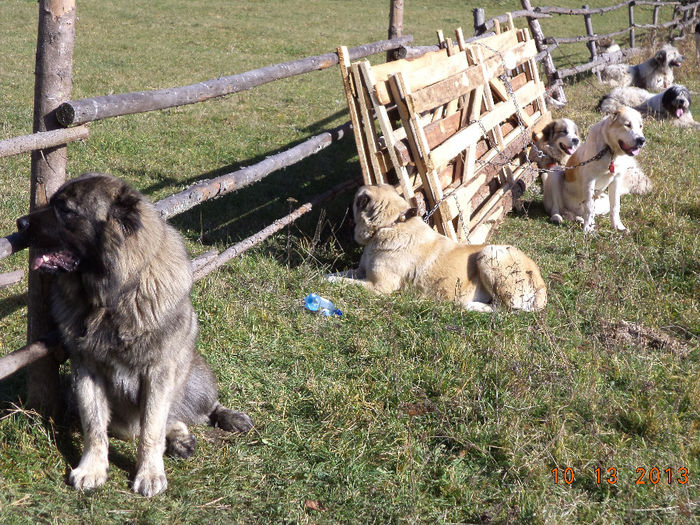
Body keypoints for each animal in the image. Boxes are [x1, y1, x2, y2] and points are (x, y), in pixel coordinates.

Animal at [16, 172, 254, 496]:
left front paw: (150, 474)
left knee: (194, 411)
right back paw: (180, 439)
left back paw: (222, 421)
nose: (20, 223)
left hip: (195, 378)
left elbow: (151, 428)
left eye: (65, 209)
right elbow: (95, 426)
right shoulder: (87, 370)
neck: (111, 299)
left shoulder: (158, 372)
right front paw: (91, 469)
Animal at [326, 184, 548, 312]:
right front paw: (326, 275)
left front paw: (330, 281)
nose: (342, 211)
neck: (391, 224)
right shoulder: (361, 271)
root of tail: (540, 281)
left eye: (354, 202)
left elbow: (346, 283)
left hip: (490, 253)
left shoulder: (378, 287)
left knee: (504, 309)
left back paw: (472, 306)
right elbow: (341, 274)